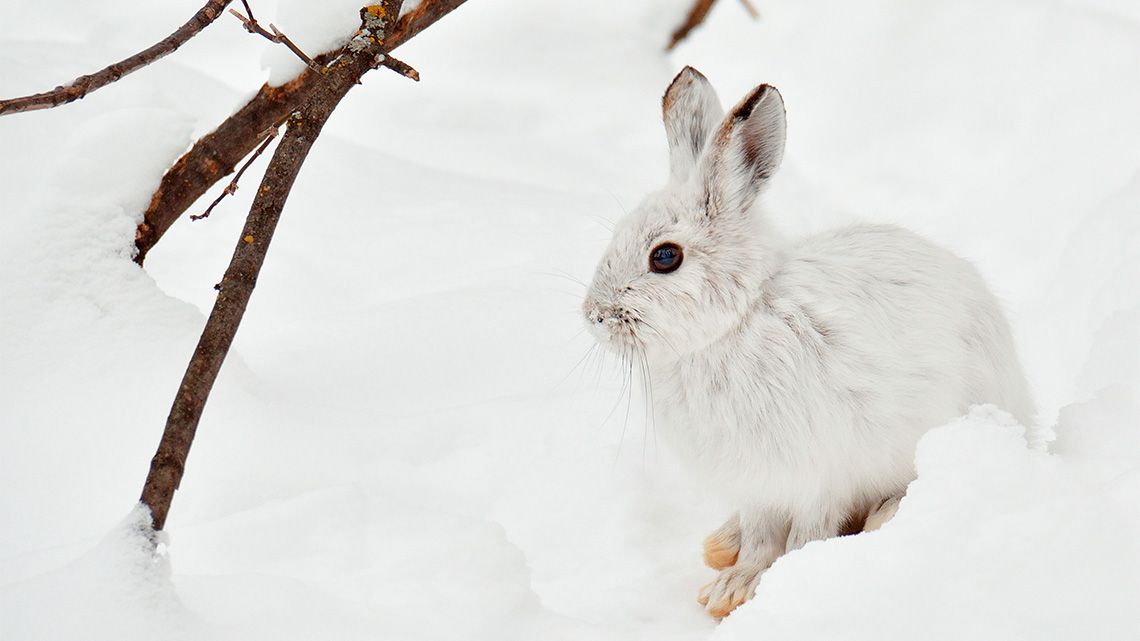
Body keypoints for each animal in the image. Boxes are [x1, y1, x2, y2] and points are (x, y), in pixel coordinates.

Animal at [581, 67, 1035, 619]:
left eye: (665, 257)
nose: (594, 315)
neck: (736, 323)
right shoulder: (761, 488)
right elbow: (760, 536)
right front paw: (728, 589)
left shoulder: (820, 475)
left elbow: (808, 535)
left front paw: (759, 587)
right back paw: (721, 543)